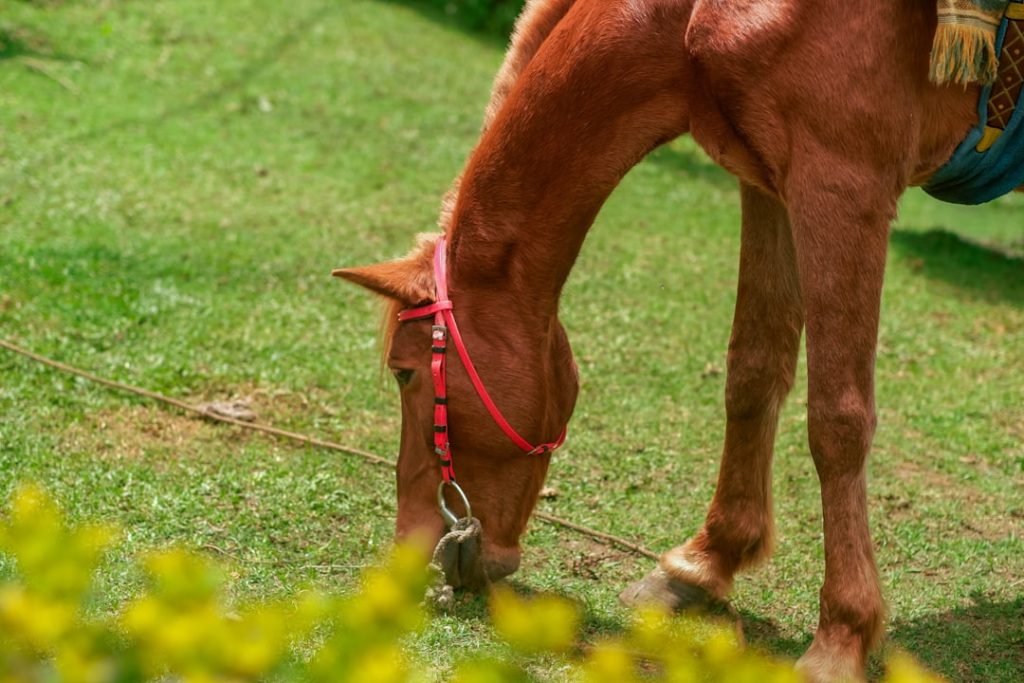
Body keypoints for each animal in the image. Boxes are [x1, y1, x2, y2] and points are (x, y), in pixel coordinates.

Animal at [334, 0, 993, 680]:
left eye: (405, 371)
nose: (412, 554)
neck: (694, 22)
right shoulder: (768, 184)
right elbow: (753, 373)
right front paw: (704, 563)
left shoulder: (842, 185)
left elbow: (837, 420)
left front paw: (842, 637)